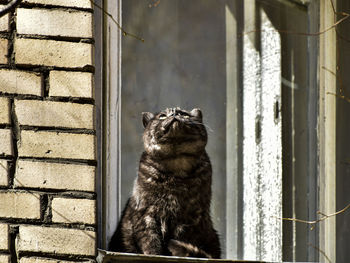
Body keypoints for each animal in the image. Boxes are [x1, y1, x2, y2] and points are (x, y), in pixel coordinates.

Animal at [108, 108, 220, 260]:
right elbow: (151, 242)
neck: (176, 163)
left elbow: (183, 240)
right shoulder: (146, 215)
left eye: (184, 114)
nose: (174, 114)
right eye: (162, 116)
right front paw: (155, 255)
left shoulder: (189, 218)